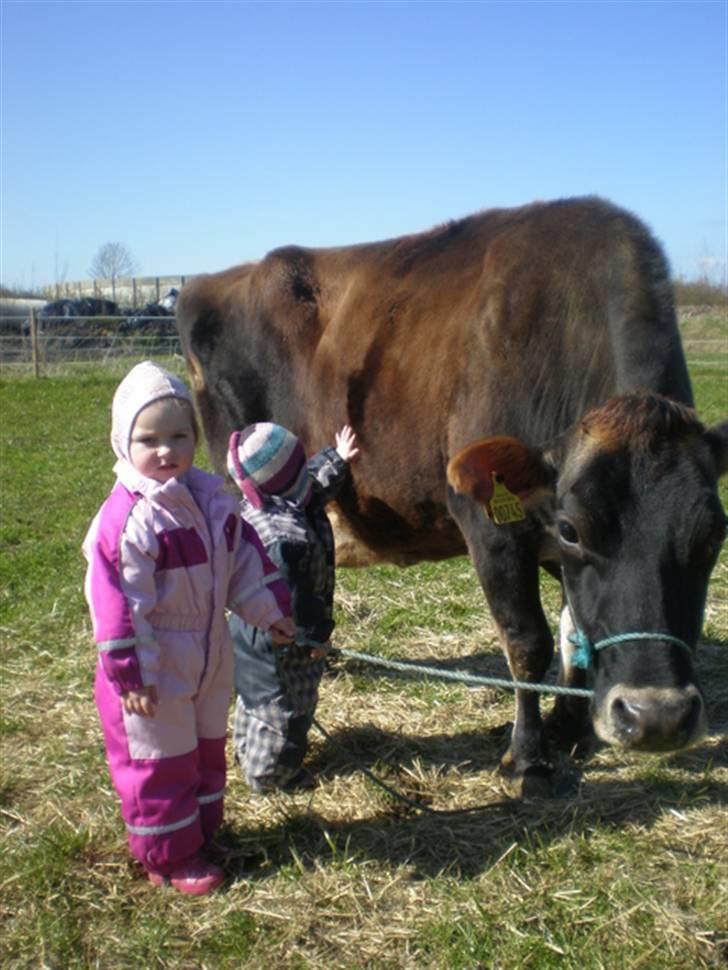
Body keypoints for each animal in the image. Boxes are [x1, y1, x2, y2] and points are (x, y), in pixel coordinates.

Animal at [178, 197, 728, 796]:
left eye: (715, 533)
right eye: (573, 527)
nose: (657, 717)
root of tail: (209, 281)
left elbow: (574, 627)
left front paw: (570, 727)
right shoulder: (490, 526)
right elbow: (528, 643)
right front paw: (528, 759)